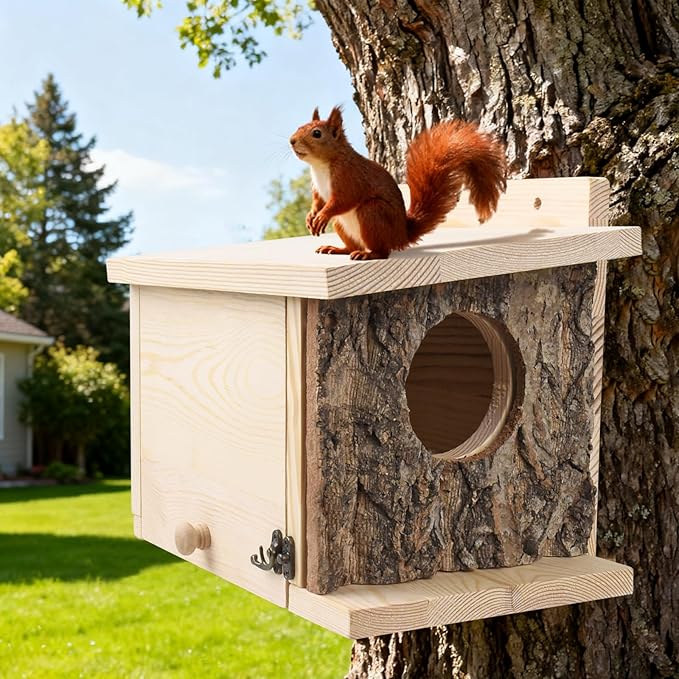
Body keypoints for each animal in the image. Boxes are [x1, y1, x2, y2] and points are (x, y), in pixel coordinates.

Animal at [289, 106, 507, 260]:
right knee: (354, 245)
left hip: (372, 213)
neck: (320, 166)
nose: (291, 140)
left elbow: (343, 200)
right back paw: (338, 249)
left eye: (317, 133)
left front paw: (321, 216)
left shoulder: (350, 178)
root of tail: (401, 235)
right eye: (299, 126)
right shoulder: (318, 188)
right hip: (341, 224)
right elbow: (317, 201)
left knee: (383, 251)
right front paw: (311, 215)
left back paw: (368, 254)